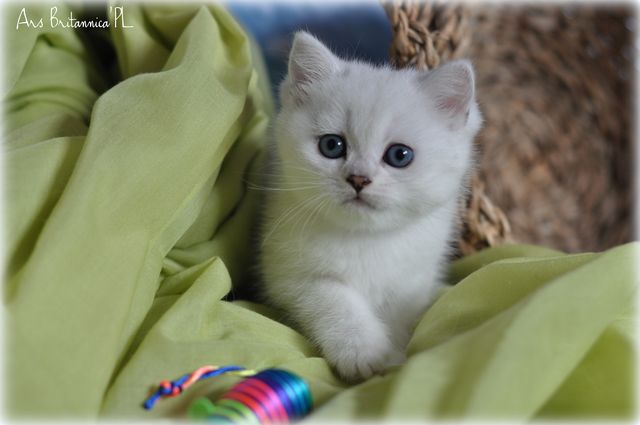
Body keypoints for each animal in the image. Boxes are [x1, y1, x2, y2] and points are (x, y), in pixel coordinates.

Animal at [257, 31, 482, 382]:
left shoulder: (412, 282)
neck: (366, 239)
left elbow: (400, 315)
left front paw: (396, 353)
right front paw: (366, 353)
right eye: (332, 145)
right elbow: (333, 300)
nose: (359, 179)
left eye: (400, 155)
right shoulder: (289, 273)